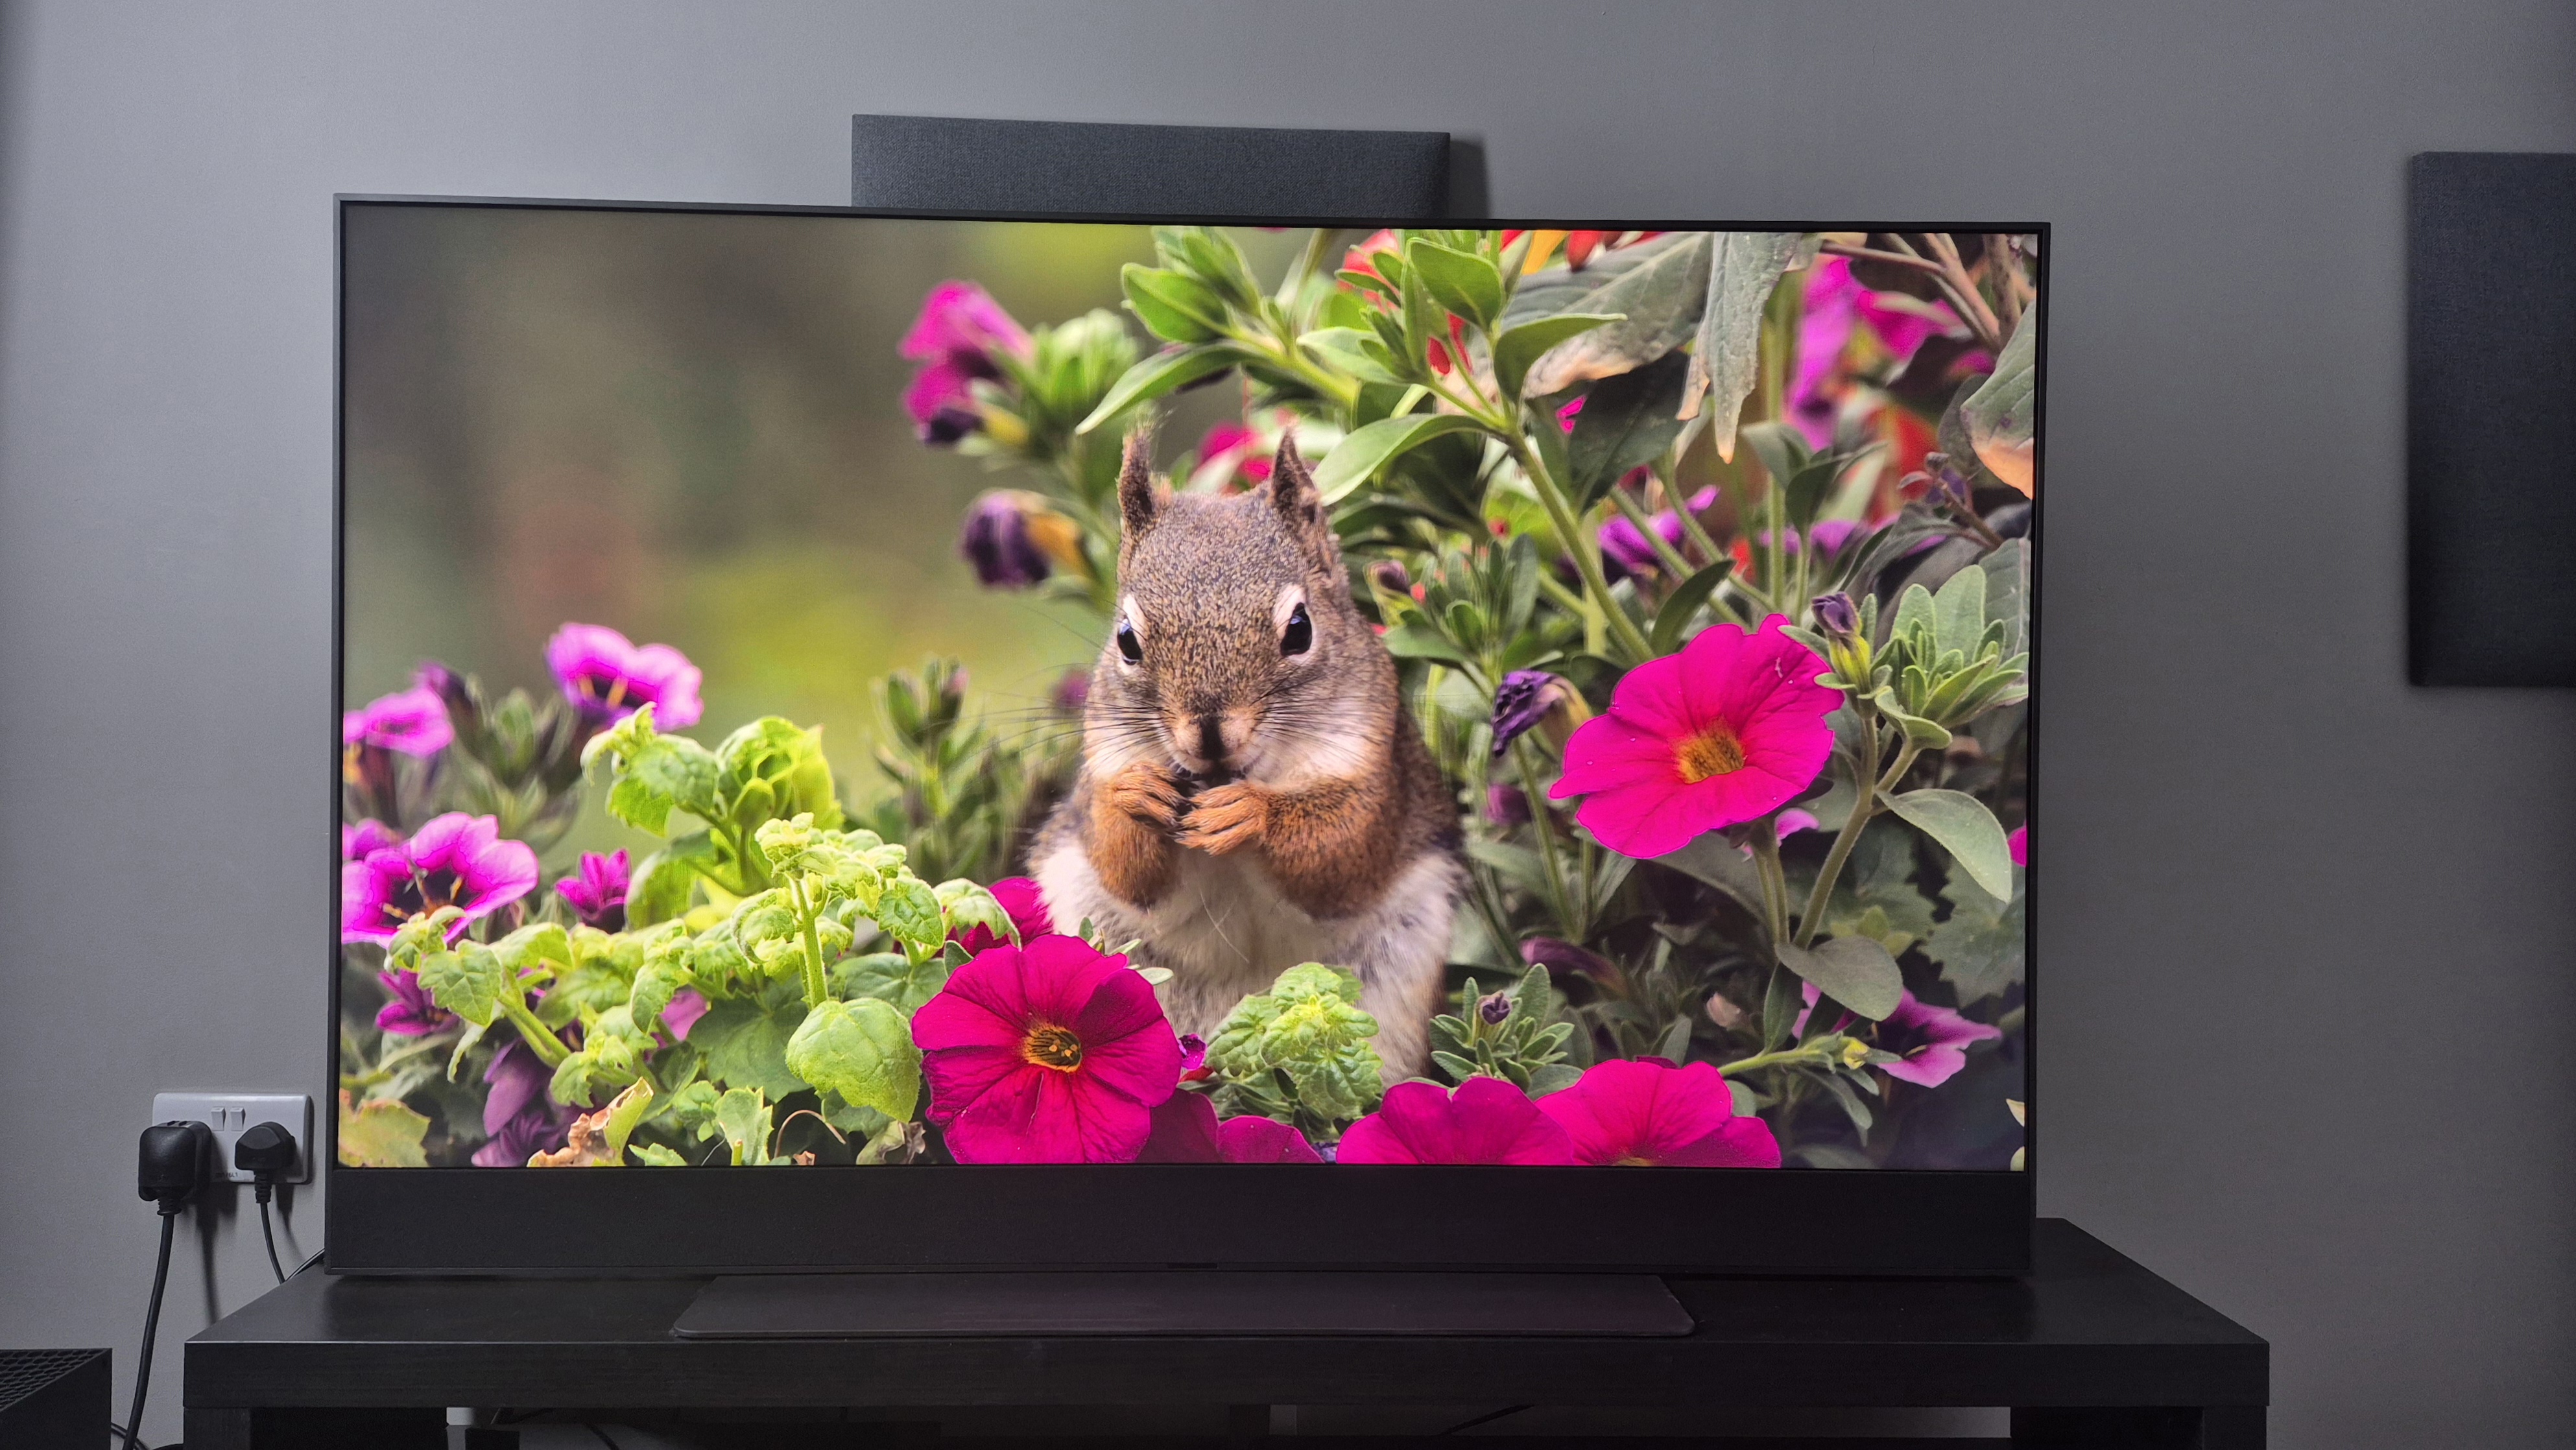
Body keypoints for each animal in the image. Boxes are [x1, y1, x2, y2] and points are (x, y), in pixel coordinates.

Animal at [1031, 430, 1464, 1081]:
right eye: (1127, 641)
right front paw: (1137, 797)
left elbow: (1340, 854)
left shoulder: (1375, 767)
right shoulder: (1104, 758)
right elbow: (1123, 866)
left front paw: (1251, 813)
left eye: (1300, 629)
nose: (1209, 737)